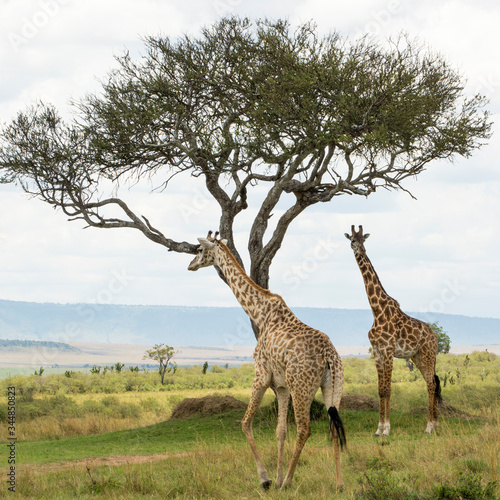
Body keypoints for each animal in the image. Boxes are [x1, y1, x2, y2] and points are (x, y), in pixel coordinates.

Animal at [188, 232, 348, 490]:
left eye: (200, 249)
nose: (190, 265)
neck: (259, 313)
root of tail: (328, 355)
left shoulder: (261, 375)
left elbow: (245, 423)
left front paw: (267, 479)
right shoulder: (282, 386)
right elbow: (280, 431)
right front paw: (277, 477)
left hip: (302, 387)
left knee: (304, 429)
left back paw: (289, 482)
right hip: (333, 386)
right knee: (333, 426)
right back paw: (339, 483)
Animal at [344, 225, 442, 436]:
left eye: (363, 240)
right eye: (353, 240)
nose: (361, 250)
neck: (377, 310)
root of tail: (435, 336)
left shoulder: (388, 350)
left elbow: (388, 389)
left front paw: (387, 429)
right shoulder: (377, 351)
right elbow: (381, 390)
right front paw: (378, 429)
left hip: (428, 354)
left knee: (431, 384)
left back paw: (429, 427)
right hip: (417, 357)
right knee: (431, 382)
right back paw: (435, 424)